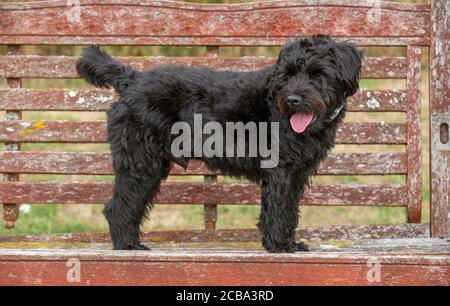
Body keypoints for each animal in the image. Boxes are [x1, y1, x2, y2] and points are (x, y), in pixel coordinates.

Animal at [76, 35, 362, 252]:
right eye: (288, 74)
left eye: (317, 74)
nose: (292, 99)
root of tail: (131, 80)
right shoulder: (282, 171)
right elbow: (279, 209)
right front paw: (280, 246)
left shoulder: (296, 174)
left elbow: (289, 209)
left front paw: (283, 242)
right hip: (141, 164)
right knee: (119, 207)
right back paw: (128, 246)